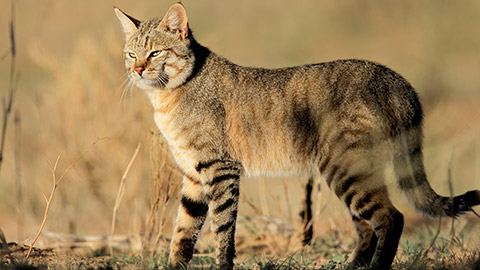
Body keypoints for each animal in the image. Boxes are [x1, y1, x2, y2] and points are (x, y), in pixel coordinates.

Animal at [113, 3, 480, 268]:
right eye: (131, 53)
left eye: (156, 52)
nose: (138, 69)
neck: (166, 98)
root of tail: (396, 80)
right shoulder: (192, 174)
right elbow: (183, 231)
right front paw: (175, 264)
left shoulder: (220, 168)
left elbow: (222, 229)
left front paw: (222, 262)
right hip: (349, 172)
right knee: (366, 226)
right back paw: (353, 265)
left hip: (346, 168)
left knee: (391, 218)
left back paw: (375, 266)